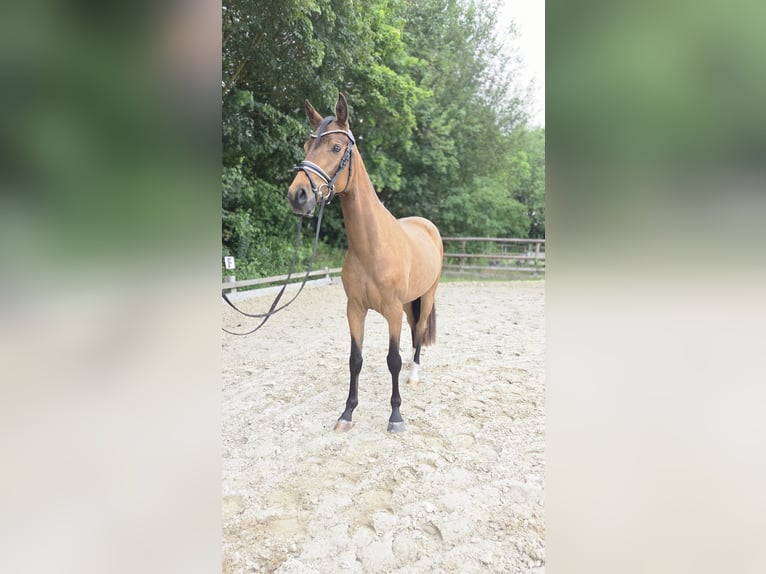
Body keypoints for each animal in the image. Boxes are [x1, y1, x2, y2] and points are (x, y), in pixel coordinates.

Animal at [287, 92, 443, 433]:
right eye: (306, 146)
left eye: (335, 147)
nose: (298, 195)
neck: (372, 247)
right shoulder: (355, 309)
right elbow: (355, 360)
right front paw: (347, 413)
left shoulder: (391, 311)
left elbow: (392, 360)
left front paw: (396, 416)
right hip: (409, 302)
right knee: (415, 330)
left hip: (426, 296)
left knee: (419, 330)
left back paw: (414, 374)